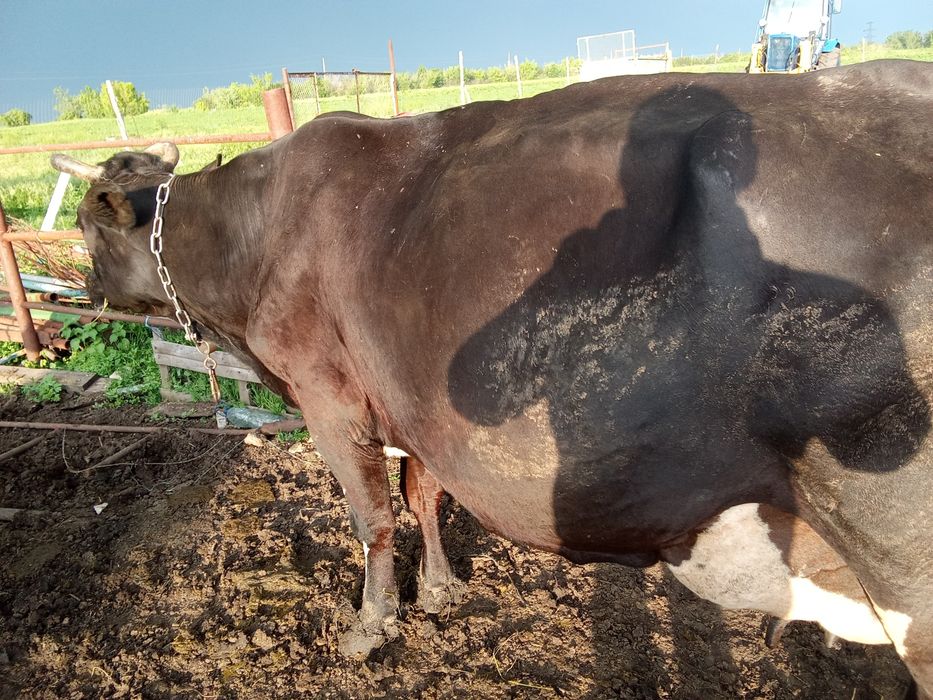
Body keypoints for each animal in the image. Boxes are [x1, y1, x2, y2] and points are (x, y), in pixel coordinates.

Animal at [51, 60, 932, 696]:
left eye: (88, 227)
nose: (86, 286)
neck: (256, 237)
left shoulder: (329, 396)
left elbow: (372, 515)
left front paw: (370, 628)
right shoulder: (412, 401)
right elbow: (423, 495)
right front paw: (440, 592)